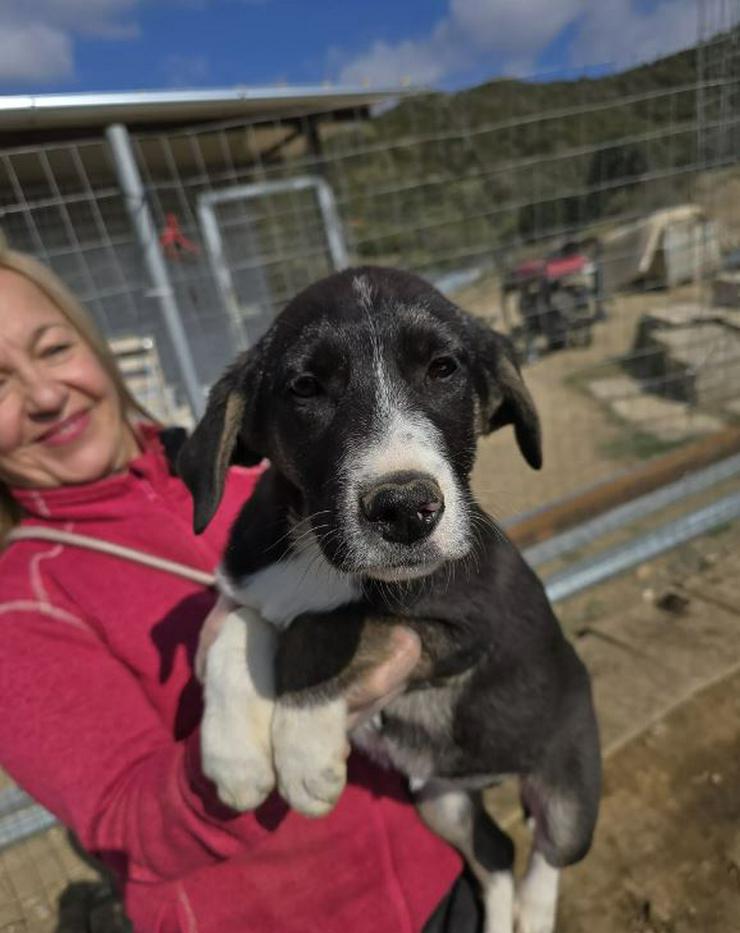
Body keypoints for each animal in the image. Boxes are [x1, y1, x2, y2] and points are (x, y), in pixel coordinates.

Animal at [179, 266, 600, 932]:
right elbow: (243, 625)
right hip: (439, 800)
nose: (405, 508)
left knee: (548, 855)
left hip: (569, 793)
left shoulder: (466, 627)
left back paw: (533, 914)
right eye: (305, 386)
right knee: (496, 853)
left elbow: (323, 629)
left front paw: (302, 751)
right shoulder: (248, 586)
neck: (317, 551)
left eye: (443, 369)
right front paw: (234, 755)